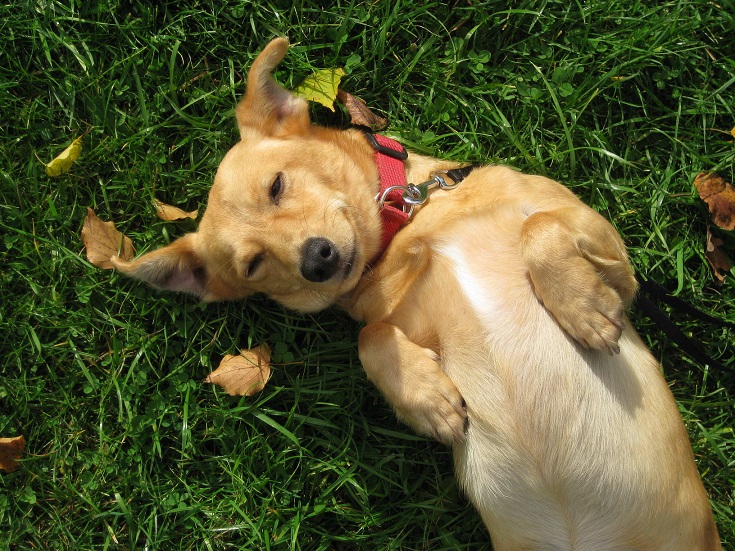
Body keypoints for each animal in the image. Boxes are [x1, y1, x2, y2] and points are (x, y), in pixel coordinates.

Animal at [112, 38, 721, 550]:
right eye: (254, 264)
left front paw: (584, 309)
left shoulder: (619, 267)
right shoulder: (396, 322)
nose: (317, 260)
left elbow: (540, 227)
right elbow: (371, 338)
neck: (410, 228)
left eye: (277, 185)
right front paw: (429, 399)